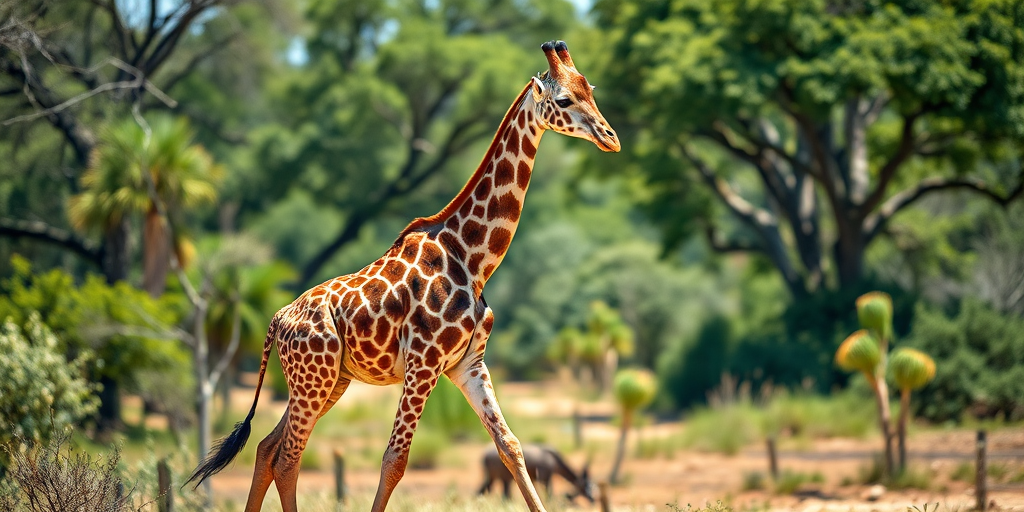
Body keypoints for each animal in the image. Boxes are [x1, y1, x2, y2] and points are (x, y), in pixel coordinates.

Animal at [186, 40, 618, 512]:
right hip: (314, 378)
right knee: (288, 457)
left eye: (592, 89)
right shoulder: (423, 363)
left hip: (328, 381)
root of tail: (276, 321)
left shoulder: (469, 364)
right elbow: (395, 459)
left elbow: (511, 446)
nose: (611, 138)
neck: (474, 258)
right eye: (565, 100)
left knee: (267, 446)